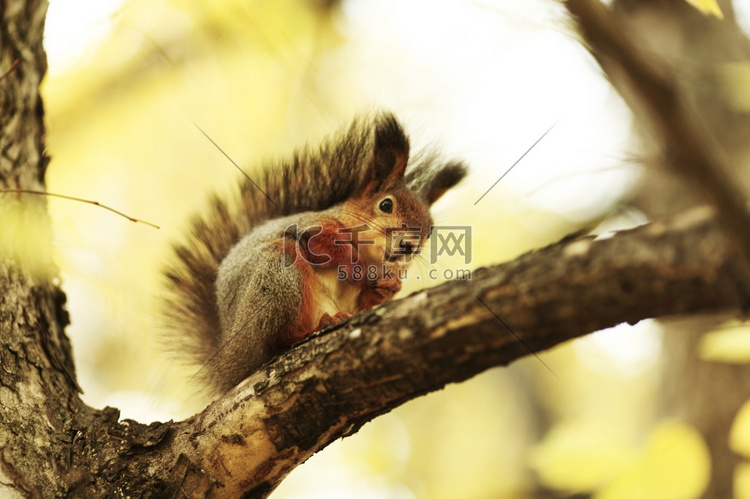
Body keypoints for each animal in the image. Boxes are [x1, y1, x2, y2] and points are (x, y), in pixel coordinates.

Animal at [167, 112, 468, 394]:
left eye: (430, 230)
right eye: (385, 204)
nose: (409, 246)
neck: (372, 255)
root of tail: (228, 365)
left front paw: (388, 286)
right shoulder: (312, 227)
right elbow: (325, 244)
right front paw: (357, 267)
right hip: (275, 276)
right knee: (277, 340)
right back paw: (315, 327)